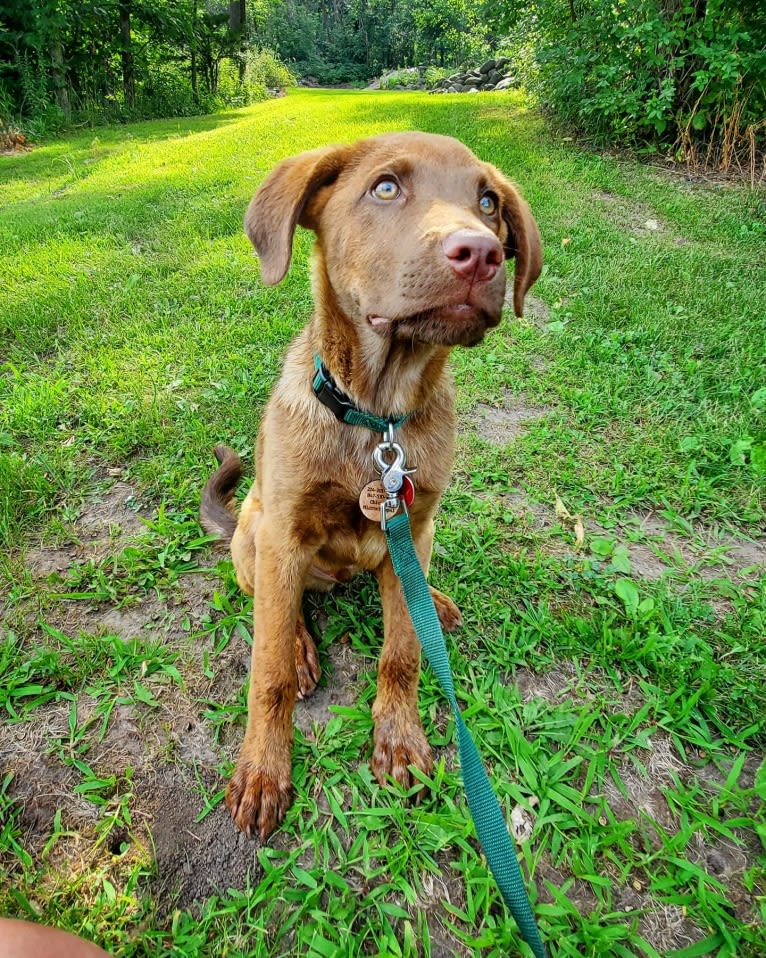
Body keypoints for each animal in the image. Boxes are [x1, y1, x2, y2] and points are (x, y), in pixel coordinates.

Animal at [201, 133, 544, 840]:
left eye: (489, 202)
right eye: (385, 188)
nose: (480, 253)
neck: (377, 416)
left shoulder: (417, 520)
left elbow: (403, 651)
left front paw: (401, 741)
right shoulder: (284, 532)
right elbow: (267, 671)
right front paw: (263, 772)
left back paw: (434, 600)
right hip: (255, 538)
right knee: (277, 609)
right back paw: (302, 647)